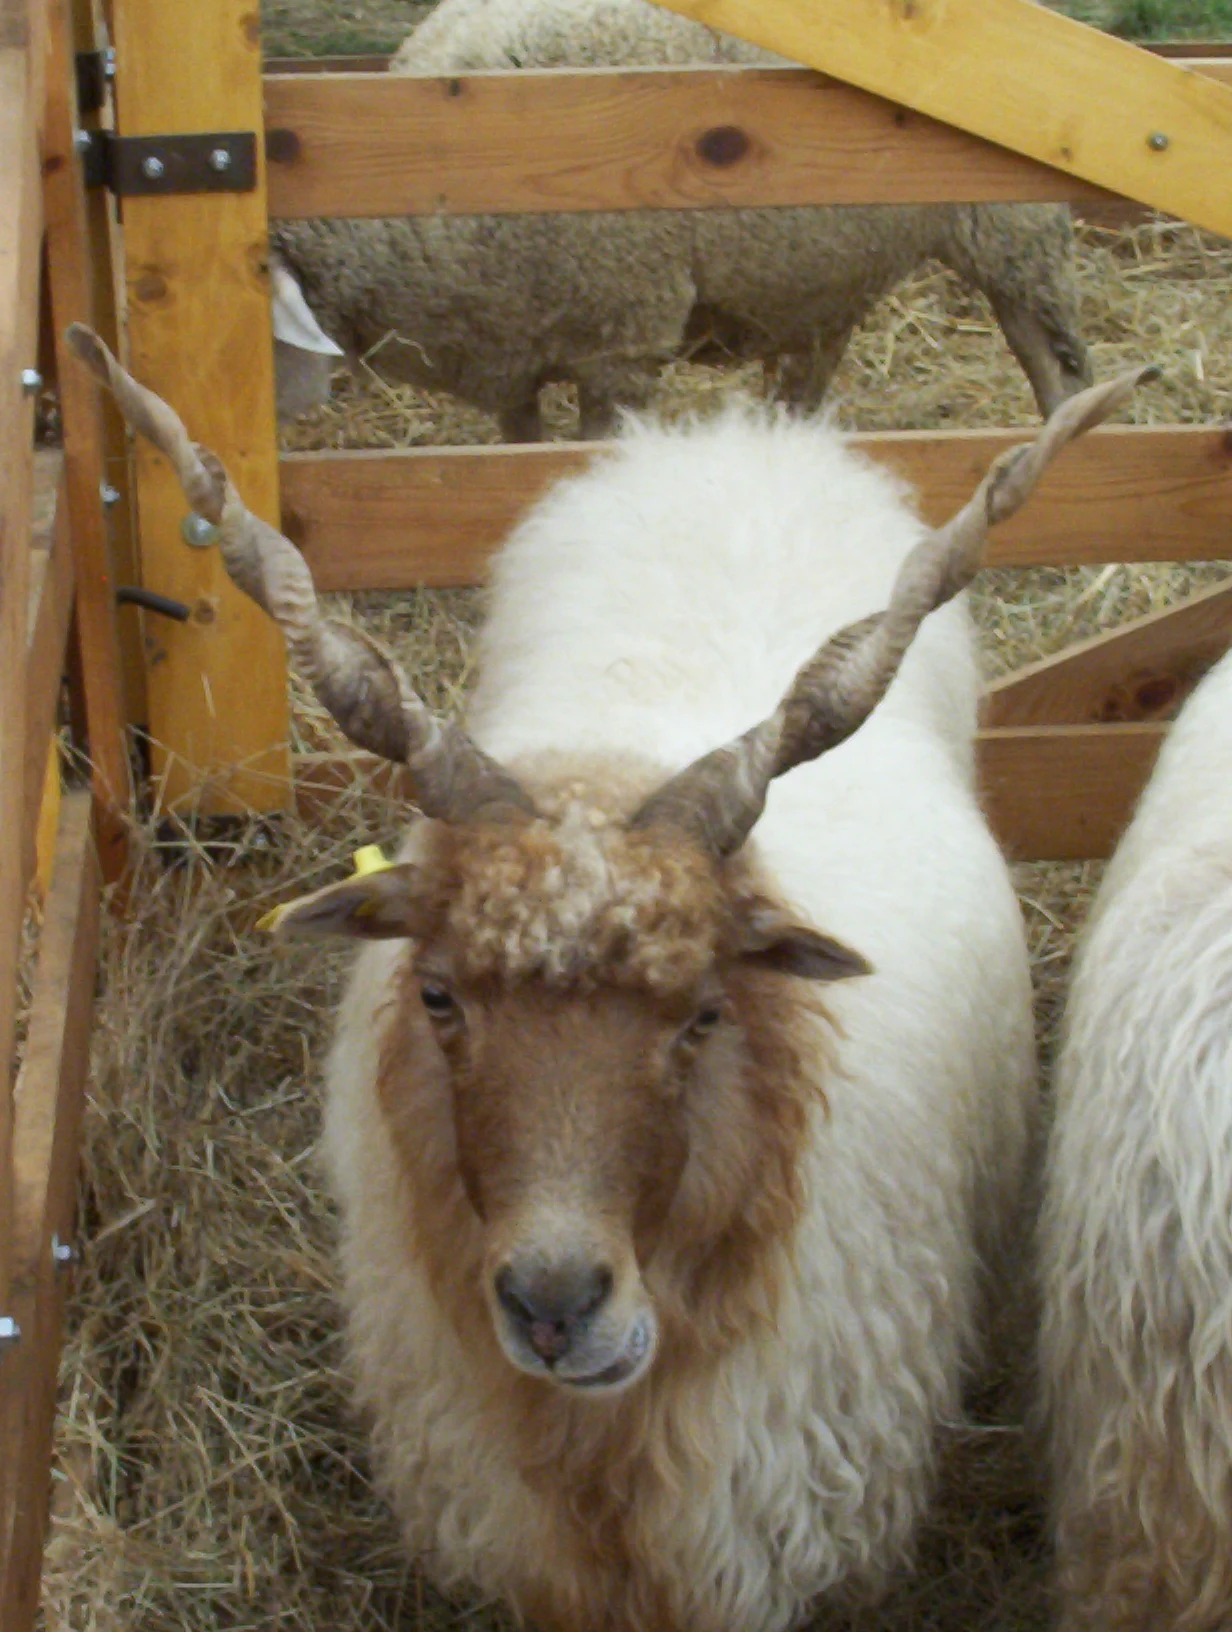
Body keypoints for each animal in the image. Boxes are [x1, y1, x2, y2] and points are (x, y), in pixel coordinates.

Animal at [269, 0, 1091, 437]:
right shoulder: (505, 357)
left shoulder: (622, 344)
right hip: (823, 261)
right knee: (813, 364)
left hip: (1014, 229)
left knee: (1055, 360)